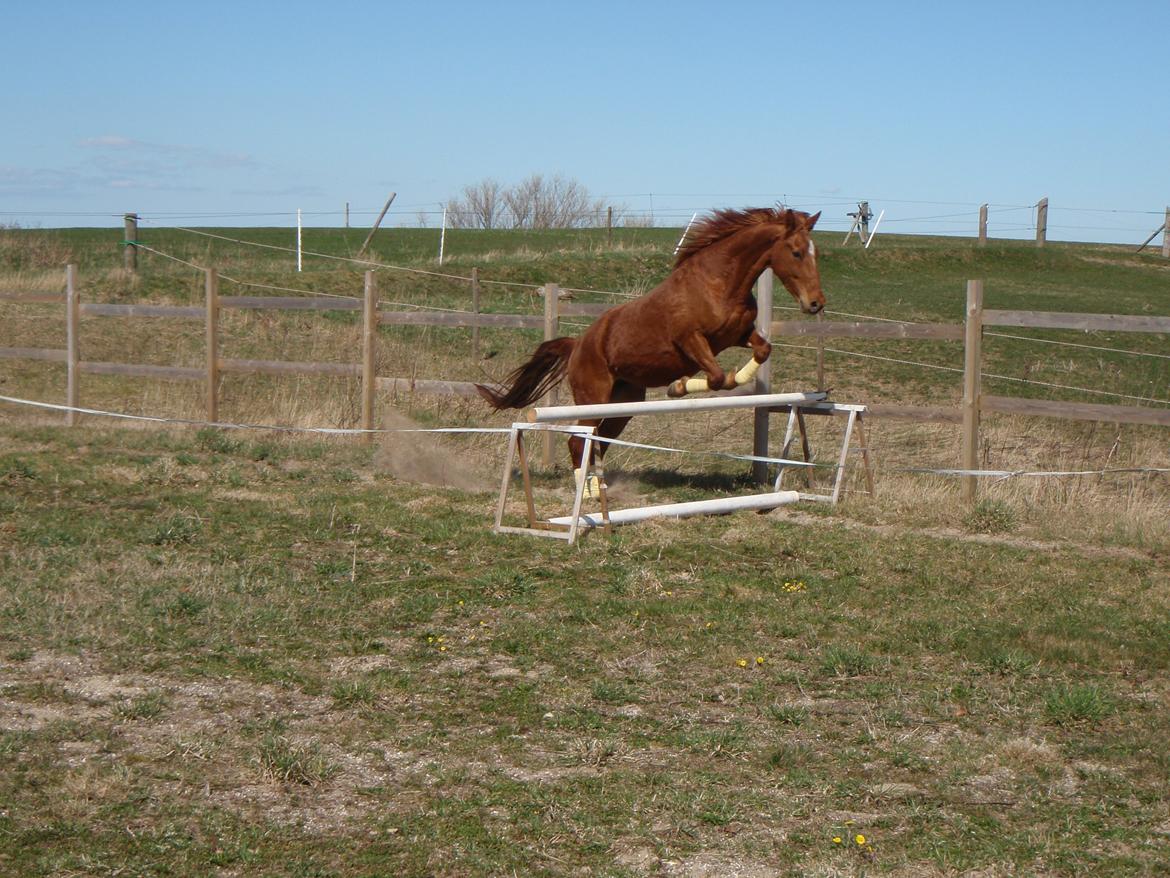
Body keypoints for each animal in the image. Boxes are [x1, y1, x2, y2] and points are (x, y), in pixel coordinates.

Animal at [475, 208, 823, 491]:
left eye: (814, 252)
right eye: (795, 252)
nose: (816, 304)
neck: (719, 283)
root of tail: (577, 345)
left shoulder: (739, 334)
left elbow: (762, 351)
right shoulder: (691, 341)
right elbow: (717, 377)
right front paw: (678, 387)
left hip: (622, 406)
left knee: (598, 443)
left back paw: (599, 488)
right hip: (592, 399)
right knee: (578, 442)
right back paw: (587, 494)